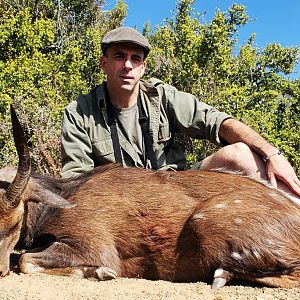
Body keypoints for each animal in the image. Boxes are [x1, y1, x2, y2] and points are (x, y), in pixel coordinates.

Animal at [0, 106, 300, 288]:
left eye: (14, 225)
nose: (0, 270)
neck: (65, 198)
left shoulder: (94, 245)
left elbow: (25, 260)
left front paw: (100, 273)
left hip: (208, 221)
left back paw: (221, 276)